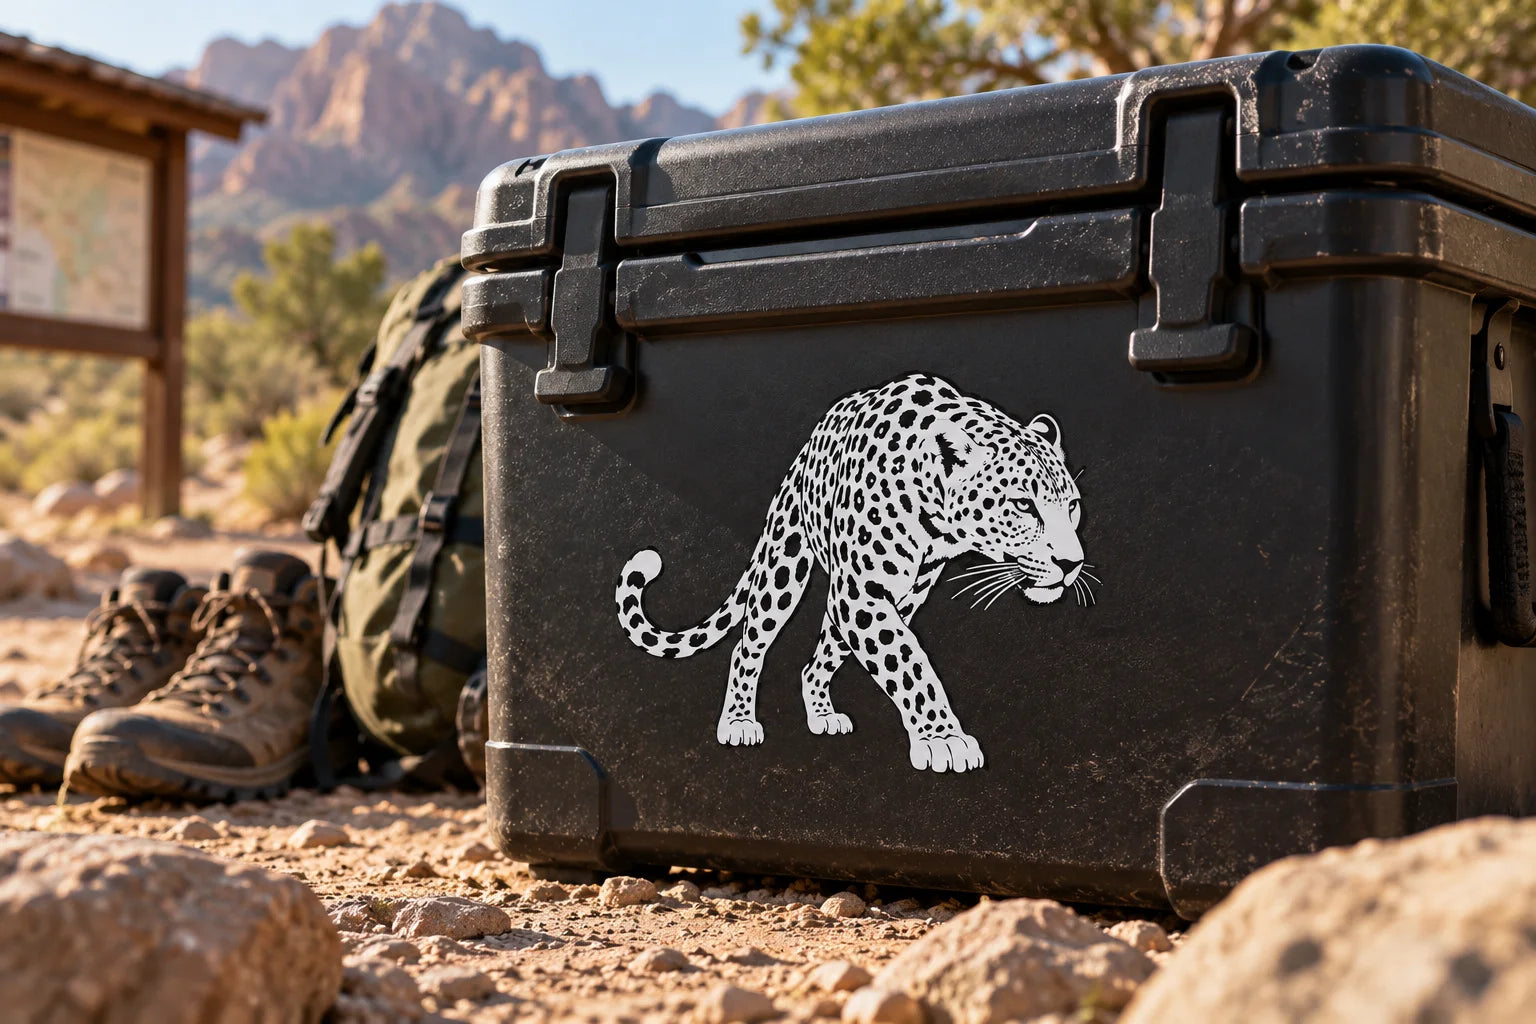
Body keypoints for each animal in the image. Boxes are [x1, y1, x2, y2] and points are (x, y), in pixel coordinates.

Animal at [615, 372, 1090, 773]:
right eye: (1023, 505)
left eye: (1072, 505)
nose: (1072, 564)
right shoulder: (862, 592)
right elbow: (911, 663)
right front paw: (943, 740)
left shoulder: (886, 593)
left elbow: (898, 654)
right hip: (785, 562)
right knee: (749, 643)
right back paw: (738, 722)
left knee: (818, 660)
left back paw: (822, 715)